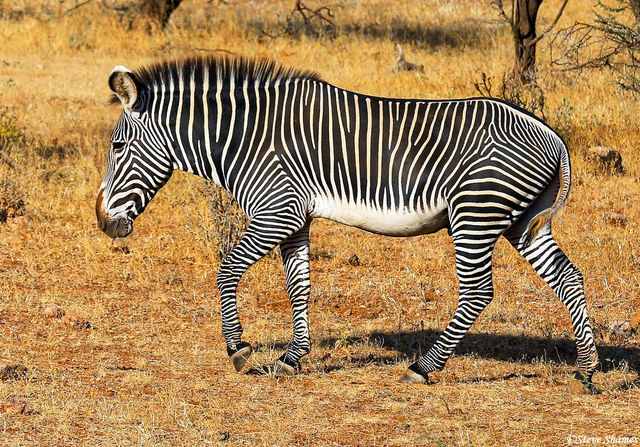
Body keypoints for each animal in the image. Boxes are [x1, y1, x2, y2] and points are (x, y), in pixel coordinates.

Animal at [96, 56, 599, 389]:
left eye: (118, 146)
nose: (103, 223)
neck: (245, 138)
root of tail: (551, 133)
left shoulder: (275, 211)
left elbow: (227, 271)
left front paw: (238, 350)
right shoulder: (295, 216)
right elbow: (299, 287)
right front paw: (292, 358)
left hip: (476, 214)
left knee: (478, 291)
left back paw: (424, 368)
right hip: (522, 220)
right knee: (569, 278)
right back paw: (587, 369)